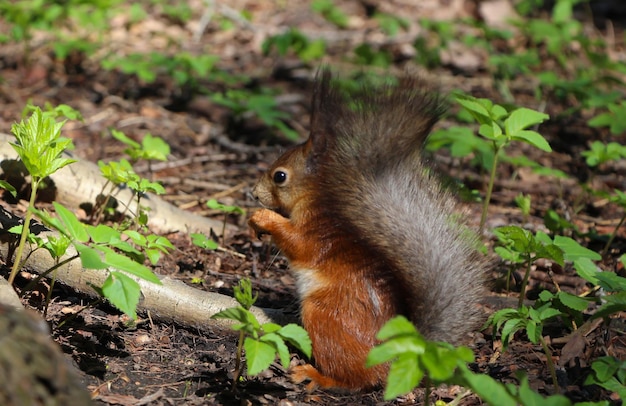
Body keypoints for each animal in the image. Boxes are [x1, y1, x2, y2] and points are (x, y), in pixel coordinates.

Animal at [247, 69, 482, 390]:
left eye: (279, 176)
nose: (254, 193)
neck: (317, 202)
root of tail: (391, 357)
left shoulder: (317, 234)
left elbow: (298, 244)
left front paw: (262, 217)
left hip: (324, 317)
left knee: (355, 378)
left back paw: (316, 374)